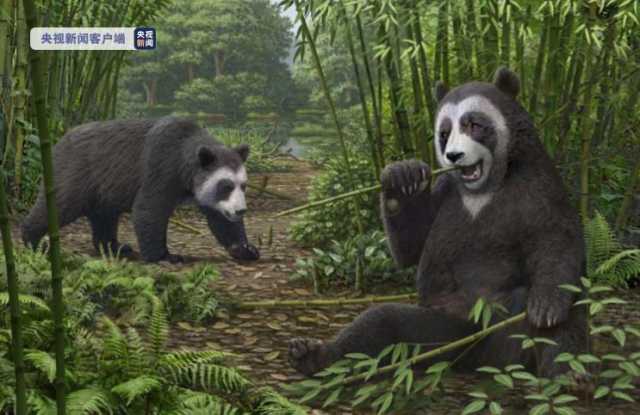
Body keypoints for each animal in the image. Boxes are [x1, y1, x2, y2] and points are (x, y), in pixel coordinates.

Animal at [21, 116, 260, 263]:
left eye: (243, 185)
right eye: (225, 186)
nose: (240, 211)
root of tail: (58, 141)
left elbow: (219, 217)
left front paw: (245, 248)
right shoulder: (162, 164)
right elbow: (149, 209)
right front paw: (165, 256)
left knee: (104, 216)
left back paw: (115, 247)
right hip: (77, 170)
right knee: (60, 204)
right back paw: (33, 240)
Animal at [288, 68, 587, 378]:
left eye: (473, 125)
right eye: (444, 133)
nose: (454, 156)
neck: (483, 188)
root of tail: (475, 358)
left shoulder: (538, 184)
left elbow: (558, 240)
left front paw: (547, 307)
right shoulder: (447, 190)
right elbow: (412, 246)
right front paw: (401, 176)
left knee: (566, 316)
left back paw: (568, 373)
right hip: (440, 327)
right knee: (381, 324)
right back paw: (312, 355)